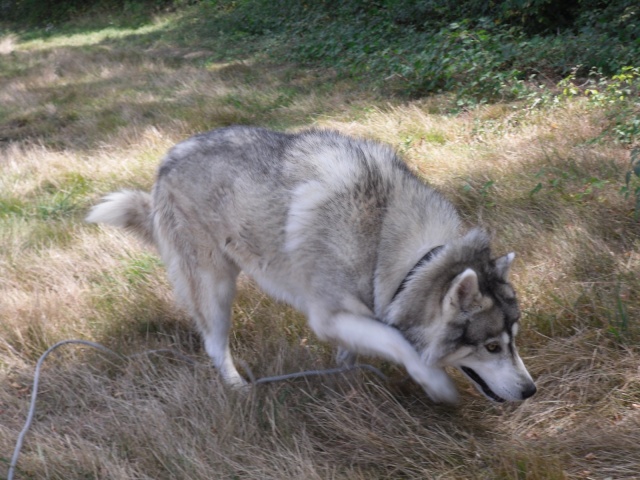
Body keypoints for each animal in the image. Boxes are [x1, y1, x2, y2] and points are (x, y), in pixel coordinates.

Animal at [85, 125, 536, 404]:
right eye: (491, 346)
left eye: (515, 339)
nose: (530, 390)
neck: (394, 250)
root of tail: (165, 163)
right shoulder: (329, 315)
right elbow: (398, 341)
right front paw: (435, 383)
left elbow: (364, 345)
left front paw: (345, 376)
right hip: (214, 286)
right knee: (214, 344)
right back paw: (237, 388)